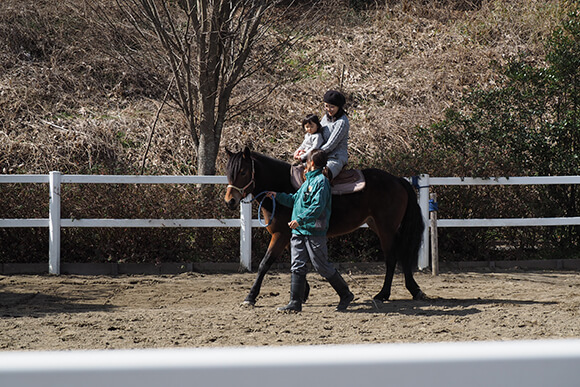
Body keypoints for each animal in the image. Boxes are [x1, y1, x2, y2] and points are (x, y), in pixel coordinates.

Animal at [223, 147, 426, 308]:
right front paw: (303, 293)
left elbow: (265, 264)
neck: (281, 185)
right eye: (228, 172)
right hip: (378, 225)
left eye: (243, 171)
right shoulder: (289, 235)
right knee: (400, 256)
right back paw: (413, 290)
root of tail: (397, 180)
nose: (230, 201)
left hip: (387, 229)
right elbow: (297, 262)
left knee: (392, 258)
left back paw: (384, 294)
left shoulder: (280, 235)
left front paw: (250, 297)